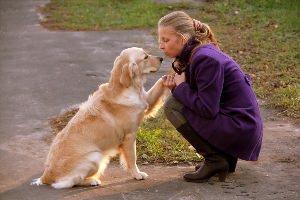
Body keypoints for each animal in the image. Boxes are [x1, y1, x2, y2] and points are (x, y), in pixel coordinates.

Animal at [31, 47, 171, 189]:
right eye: (145, 57)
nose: (161, 58)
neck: (125, 87)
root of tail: (45, 177)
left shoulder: (146, 101)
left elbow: (160, 82)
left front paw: (171, 75)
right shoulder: (129, 136)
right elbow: (132, 159)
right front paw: (137, 174)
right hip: (95, 157)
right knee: (73, 181)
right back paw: (92, 181)